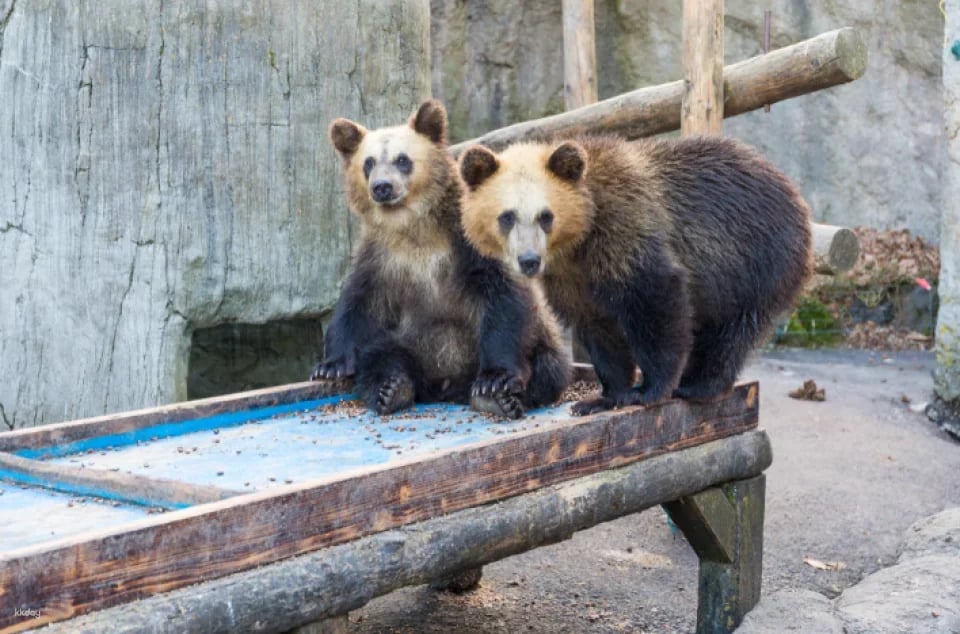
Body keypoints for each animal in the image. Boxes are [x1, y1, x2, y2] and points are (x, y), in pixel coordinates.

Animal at [310, 100, 571, 418]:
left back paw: (498, 398)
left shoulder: (469, 242)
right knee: (379, 357)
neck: (413, 225)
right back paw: (393, 389)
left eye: (402, 159)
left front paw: (494, 381)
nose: (382, 187)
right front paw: (329, 366)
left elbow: (503, 297)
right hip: (409, 343)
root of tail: (444, 386)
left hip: (542, 338)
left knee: (548, 368)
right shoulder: (381, 256)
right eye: (368, 163)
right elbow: (357, 303)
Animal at [458, 134, 812, 416]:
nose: (529, 260)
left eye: (545, 216)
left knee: (732, 330)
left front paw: (647, 390)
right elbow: (599, 330)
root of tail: (794, 192)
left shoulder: (626, 231)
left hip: (755, 261)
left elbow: (656, 301)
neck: (578, 241)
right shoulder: (571, 279)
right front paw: (602, 397)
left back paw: (698, 383)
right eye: (507, 216)